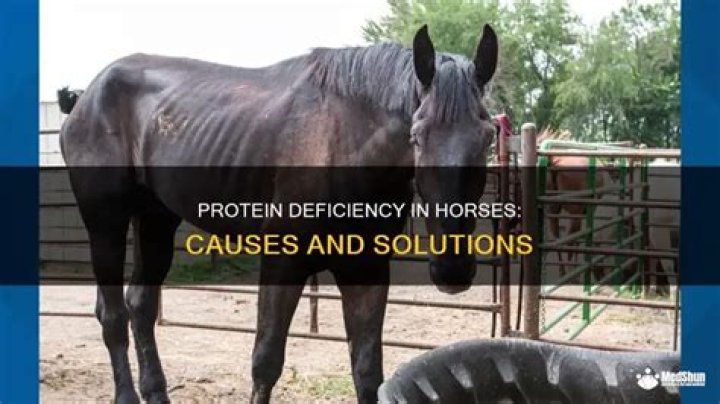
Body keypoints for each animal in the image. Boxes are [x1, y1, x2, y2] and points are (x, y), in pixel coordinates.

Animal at [58, 24, 499, 404]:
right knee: (112, 314)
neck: (342, 141)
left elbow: (367, 371)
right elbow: (266, 362)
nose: (453, 272)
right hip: (105, 223)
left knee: (141, 306)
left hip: (156, 220)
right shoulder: (282, 262)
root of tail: (86, 96)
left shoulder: (366, 268)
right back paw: (126, 395)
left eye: (488, 137)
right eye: (417, 136)